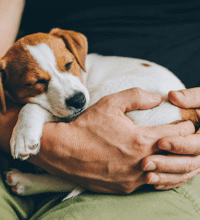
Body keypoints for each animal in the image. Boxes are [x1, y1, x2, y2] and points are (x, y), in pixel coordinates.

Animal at [0, 28, 198, 200]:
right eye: (35, 82)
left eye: (69, 64)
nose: (78, 100)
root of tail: (188, 114)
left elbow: (32, 107)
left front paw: (23, 134)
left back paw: (27, 181)